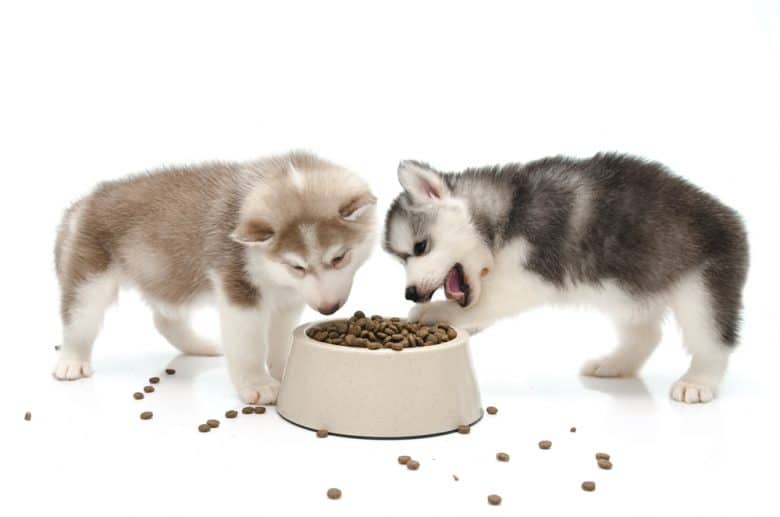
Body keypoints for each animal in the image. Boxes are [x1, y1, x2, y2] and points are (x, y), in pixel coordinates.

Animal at [53, 149, 376, 404]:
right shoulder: (238, 286)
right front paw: (257, 384)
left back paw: (202, 345)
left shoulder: (288, 298)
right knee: (79, 321)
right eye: (297, 266)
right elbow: (248, 344)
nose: (328, 308)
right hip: (90, 279)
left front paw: (286, 367)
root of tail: (82, 203)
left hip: (169, 273)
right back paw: (71, 362)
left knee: (165, 319)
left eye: (339, 257)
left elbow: (282, 335)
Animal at [384, 153, 748, 404]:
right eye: (400, 259)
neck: (506, 215)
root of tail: (732, 218)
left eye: (420, 247)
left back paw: (698, 382)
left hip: (701, 289)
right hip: (630, 291)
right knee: (647, 335)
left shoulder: (525, 275)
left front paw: (434, 312)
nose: (410, 293)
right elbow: (478, 306)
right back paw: (615, 364)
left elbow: (487, 301)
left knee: (712, 341)